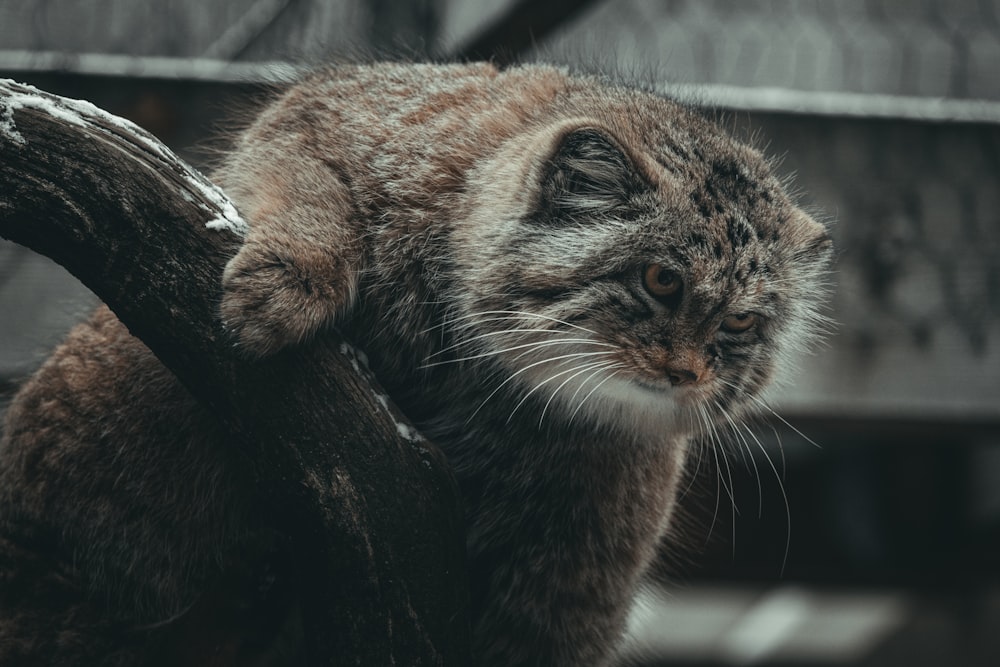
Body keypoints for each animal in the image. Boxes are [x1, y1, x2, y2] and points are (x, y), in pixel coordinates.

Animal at [0, 62, 828, 667]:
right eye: (661, 280)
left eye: (742, 323)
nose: (689, 373)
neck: (484, 380)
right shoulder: (313, 112)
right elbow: (312, 193)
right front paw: (288, 284)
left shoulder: (562, 595)